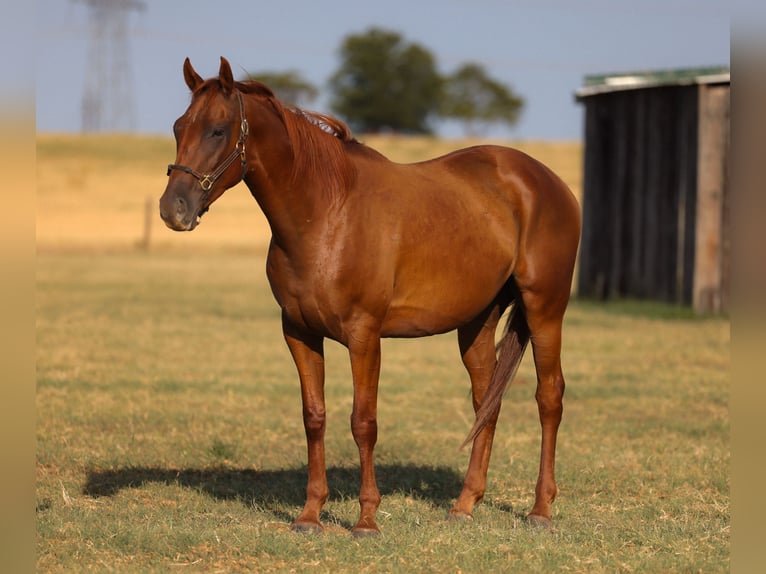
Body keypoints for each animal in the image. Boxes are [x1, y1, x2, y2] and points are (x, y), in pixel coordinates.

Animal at [160, 57, 581, 536]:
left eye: (217, 130)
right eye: (178, 127)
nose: (173, 209)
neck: (327, 213)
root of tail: (547, 181)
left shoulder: (364, 336)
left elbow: (363, 422)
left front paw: (366, 519)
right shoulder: (299, 333)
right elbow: (314, 417)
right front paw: (310, 515)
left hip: (545, 310)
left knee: (549, 398)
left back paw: (540, 510)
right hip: (477, 322)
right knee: (485, 401)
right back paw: (464, 505)